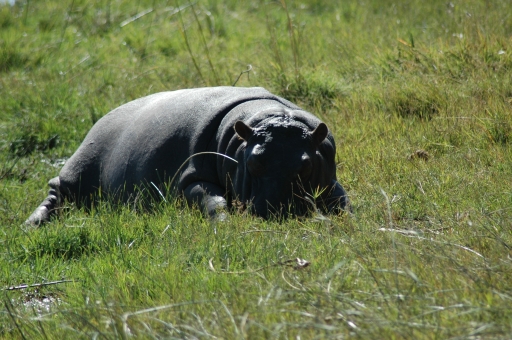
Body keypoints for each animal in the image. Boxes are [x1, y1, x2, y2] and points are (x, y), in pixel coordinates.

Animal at [26, 86, 350, 224]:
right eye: (254, 161)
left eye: (306, 165)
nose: (277, 208)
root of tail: (99, 120)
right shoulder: (190, 178)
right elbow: (212, 200)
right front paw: (225, 224)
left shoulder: (330, 181)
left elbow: (344, 200)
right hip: (78, 171)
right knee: (55, 194)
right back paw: (33, 224)